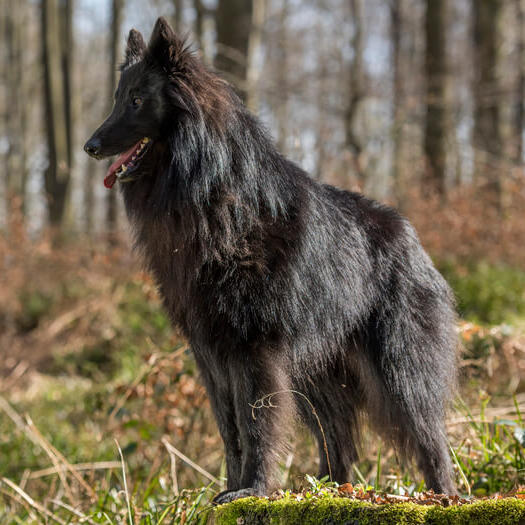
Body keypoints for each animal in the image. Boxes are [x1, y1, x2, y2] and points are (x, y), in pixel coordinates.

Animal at [84, 18, 456, 502]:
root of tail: (414, 240)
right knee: (338, 442)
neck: (213, 201)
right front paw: (229, 489)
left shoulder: (254, 350)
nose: (90, 146)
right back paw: (330, 490)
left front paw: (253, 489)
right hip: (317, 376)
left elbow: (257, 423)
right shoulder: (211, 354)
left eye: (136, 100)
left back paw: (444, 497)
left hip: (398, 371)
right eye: (117, 98)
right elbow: (231, 430)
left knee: (430, 438)